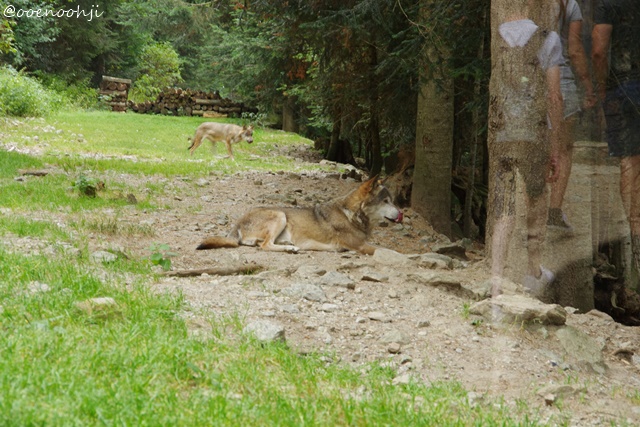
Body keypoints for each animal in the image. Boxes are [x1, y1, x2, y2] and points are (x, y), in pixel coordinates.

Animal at [196, 176, 403, 255]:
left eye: (392, 200)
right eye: (386, 201)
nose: (401, 213)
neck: (351, 214)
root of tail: (237, 224)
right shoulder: (359, 246)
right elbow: (390, 251)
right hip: (280, 215)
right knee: (265, 245)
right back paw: (291, 248)